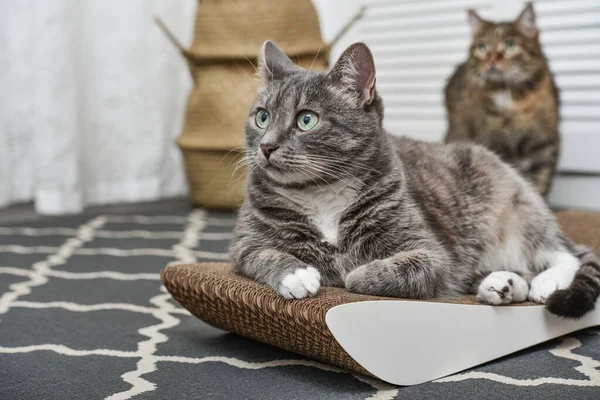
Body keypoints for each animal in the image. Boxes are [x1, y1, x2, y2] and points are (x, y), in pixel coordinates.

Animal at [230, 40, 600, 318]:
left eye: (307, 120)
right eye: (262, 117)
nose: (266, 146)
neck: (322, 194)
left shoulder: (432, 251)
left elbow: (407, 267)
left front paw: (355, 273)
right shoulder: (243, 243)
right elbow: (261, 254)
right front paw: (296, 273)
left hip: (518, 215)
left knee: (566, 253)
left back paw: (547, 282)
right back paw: (502, 285)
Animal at [442, 2, 560, 197]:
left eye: (510, 45)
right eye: (482, 48)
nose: (491, 61)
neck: (508, 94)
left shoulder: (543, 146)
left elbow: (539, 184)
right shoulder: (491, 143)